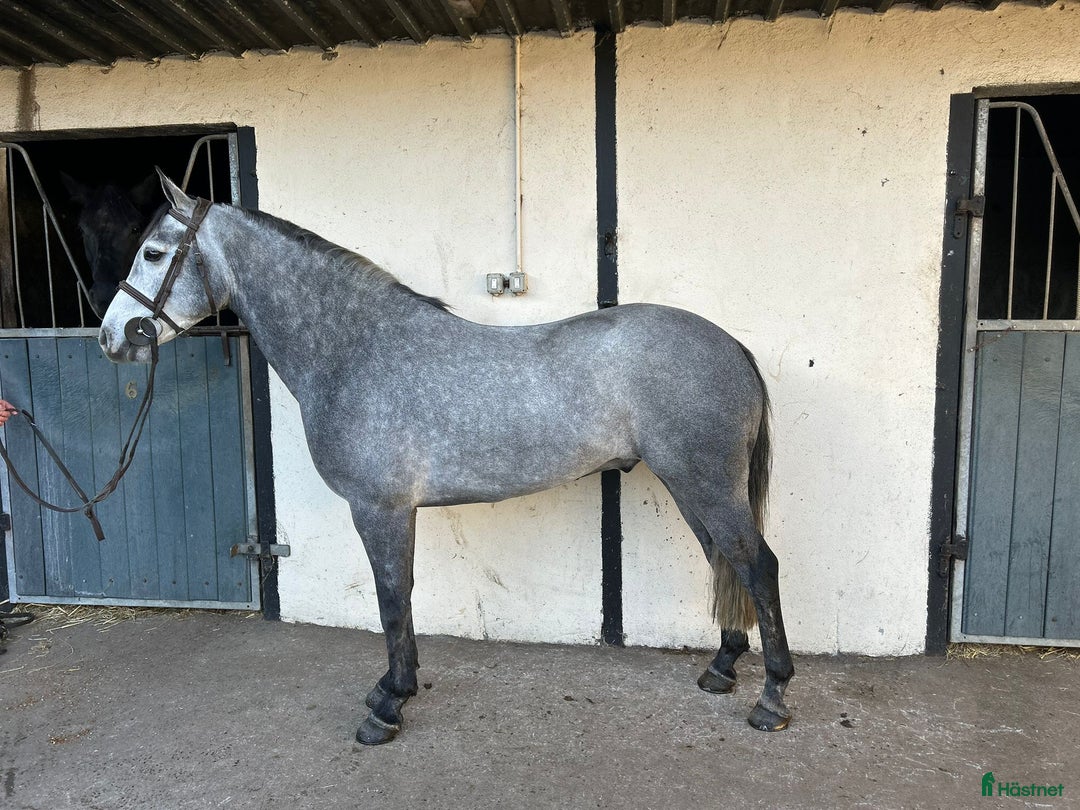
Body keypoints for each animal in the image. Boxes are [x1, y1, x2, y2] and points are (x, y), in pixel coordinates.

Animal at [98, 170, 795, 745]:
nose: (110, 337)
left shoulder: (378, 507)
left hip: (705, 483)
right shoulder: (392, 510)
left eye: (153, 252)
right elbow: (400, 594)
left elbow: (390, 596)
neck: (356, 350)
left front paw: (387, 707)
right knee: (724, 560)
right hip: (693, 486)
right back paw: (721, 668)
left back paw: (771, 698)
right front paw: (392, 691)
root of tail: (730, 344)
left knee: (757, 565)